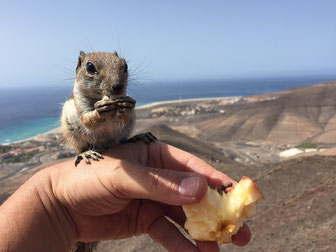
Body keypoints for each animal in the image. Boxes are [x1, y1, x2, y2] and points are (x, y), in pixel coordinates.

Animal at [60, 50, 156, 251]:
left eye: (125, 65)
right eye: (89, 67)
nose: (118, 87)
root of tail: (106, 146)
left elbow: (122, 118)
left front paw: (125, 106)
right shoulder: (80, 103)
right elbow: (89, 120)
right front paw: (100, 110)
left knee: (122, 138)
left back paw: (137, 137)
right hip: (70, 126)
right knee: (81, 145)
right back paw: (86, 152)